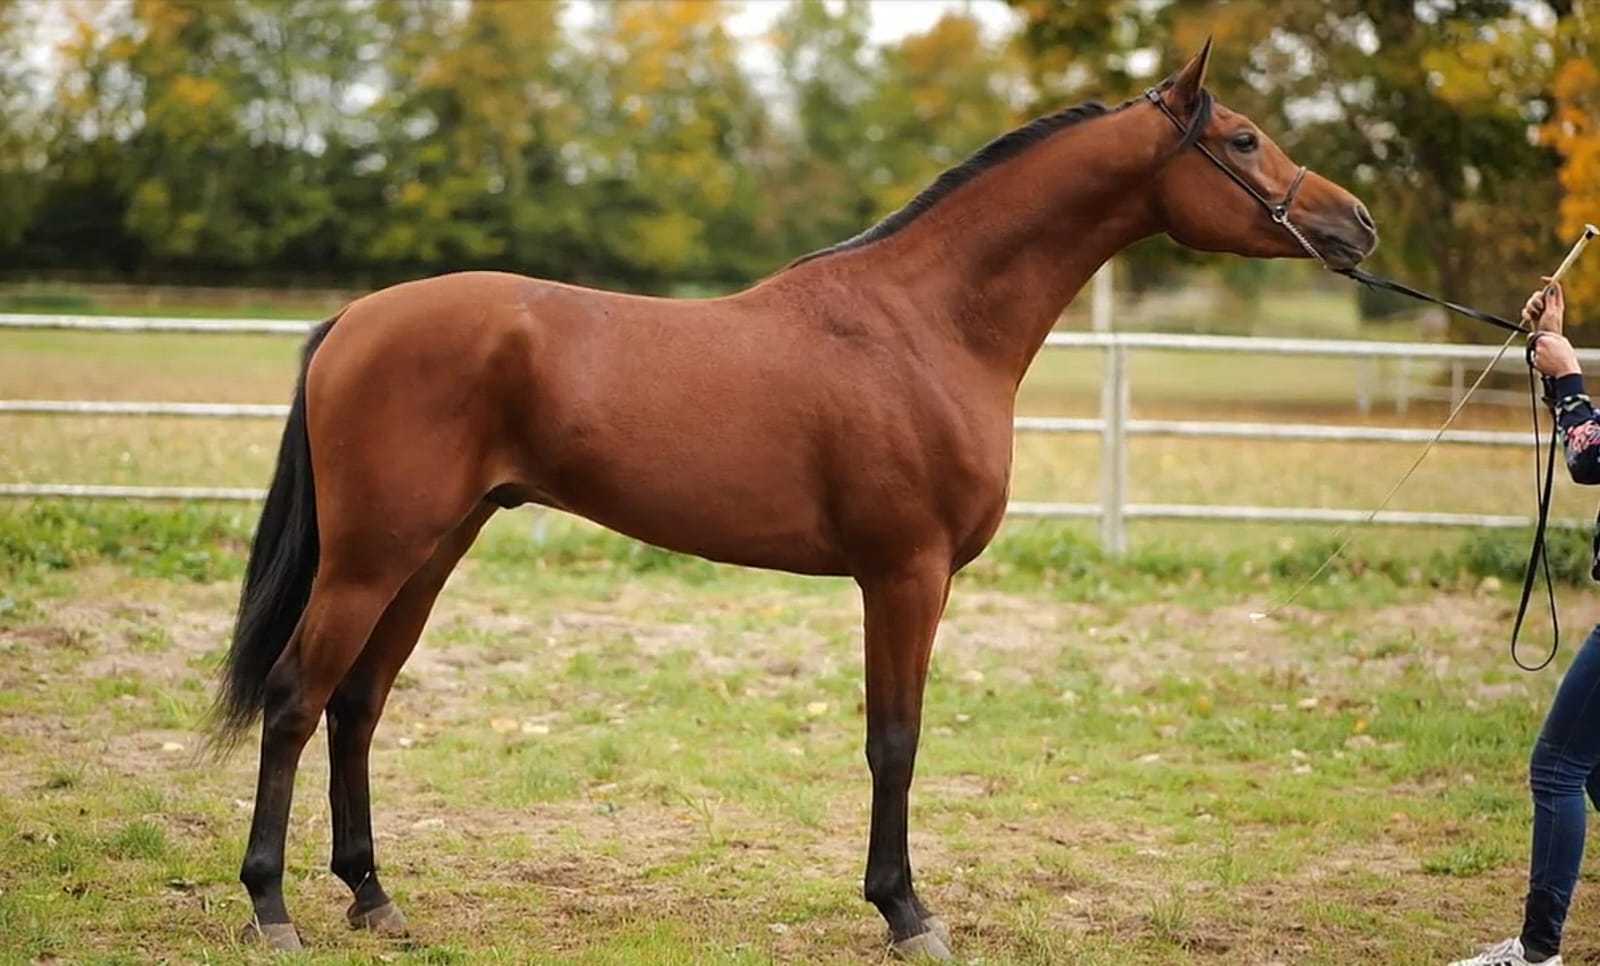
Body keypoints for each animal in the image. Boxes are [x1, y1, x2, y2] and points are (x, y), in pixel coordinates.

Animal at [211, 40, 1377, 960]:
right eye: (1242, 141)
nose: (1355, 224)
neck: (925, 324)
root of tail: (356, 317)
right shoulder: (904, 574)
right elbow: (894, 739)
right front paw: (906, 913)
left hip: (431, 549)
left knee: (358, 705)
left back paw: (373, 897)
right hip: (372, 556)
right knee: (295, 698)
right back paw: (273, 910)